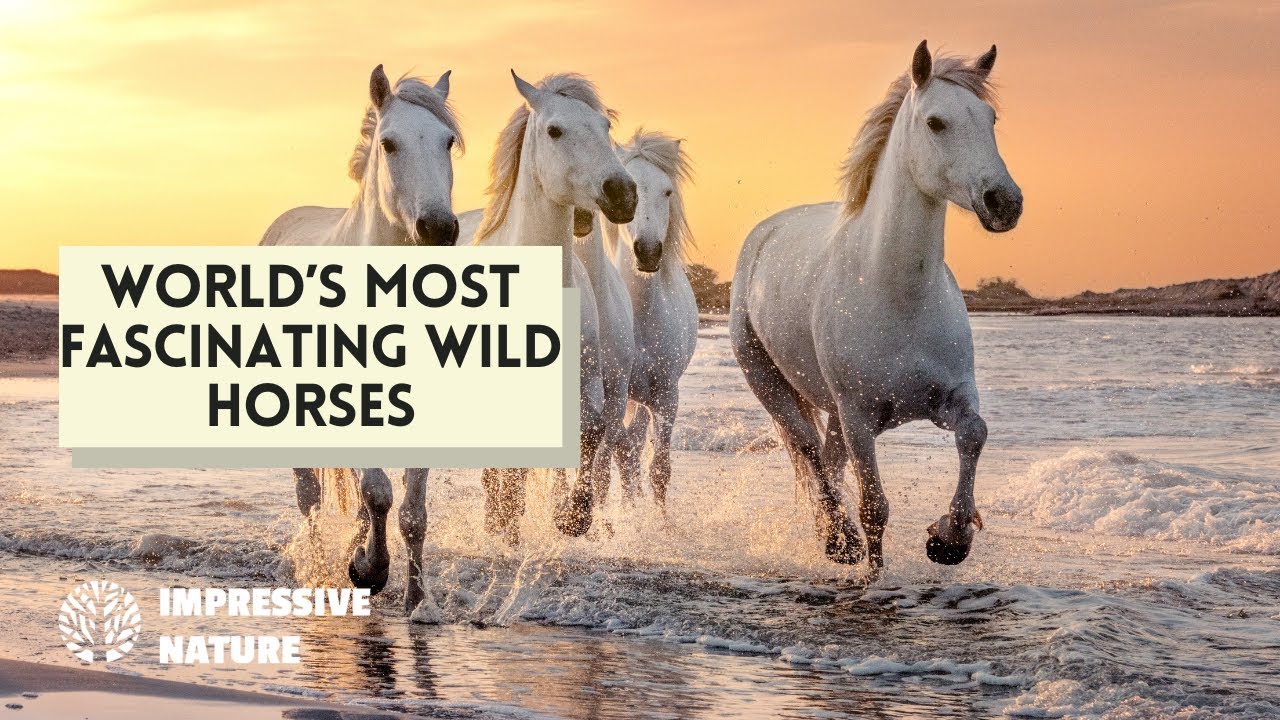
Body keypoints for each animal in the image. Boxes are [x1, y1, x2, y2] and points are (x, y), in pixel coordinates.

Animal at [260, 65, 462, 612]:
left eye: (448, 141)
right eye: (389, 144)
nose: (438, 227)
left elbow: (411, 512)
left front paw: (418, 600)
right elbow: (378, 493)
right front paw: (369, 569)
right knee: (310, 497)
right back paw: (318, 573)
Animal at [456, 71, 637, 541]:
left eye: (605, 127)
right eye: (555, 130)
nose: (623, 193)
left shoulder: (587, 378)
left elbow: (591, 428)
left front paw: (573, 515)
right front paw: (508, 517)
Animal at [603, 130, 698, 506]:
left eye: (667, 191)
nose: (647, 252)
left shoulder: (666, 395)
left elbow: (659, 468)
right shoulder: (613, 394)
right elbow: (620, 456)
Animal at [729, 41, 1022, 572]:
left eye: (990, 117)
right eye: (935, 122)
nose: (1004, 202)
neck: (897, 295)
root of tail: (764, 233)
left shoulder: (950, 397)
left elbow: (974, 434)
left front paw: (949, 539)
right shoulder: (860, 417)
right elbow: (874, 509)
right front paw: (875, 570)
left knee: (827, 459)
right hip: (769, 382)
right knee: (808, 450)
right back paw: (838, 540)